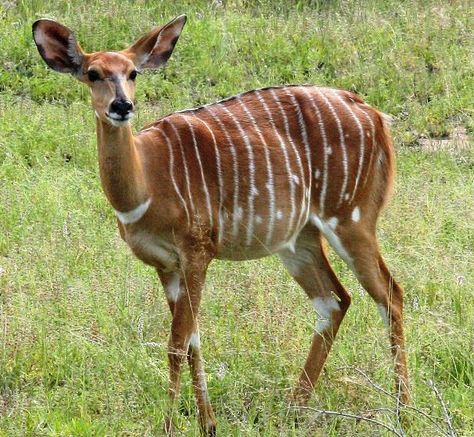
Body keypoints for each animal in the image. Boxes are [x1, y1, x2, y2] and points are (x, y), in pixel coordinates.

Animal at [34, 15, 412, 434]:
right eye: (93, 73)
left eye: (133, 72)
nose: (122, 105)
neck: (148, 180)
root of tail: (376, 116)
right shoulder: (166, 265)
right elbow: (192, 341)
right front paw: (207, 423)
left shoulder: (198, 250)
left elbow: (176, 343)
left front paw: (169, 426)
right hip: (299, 239)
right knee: (335, 300)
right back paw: (293, 407)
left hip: (351, 218)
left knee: (390, 295)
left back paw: (404, 412)